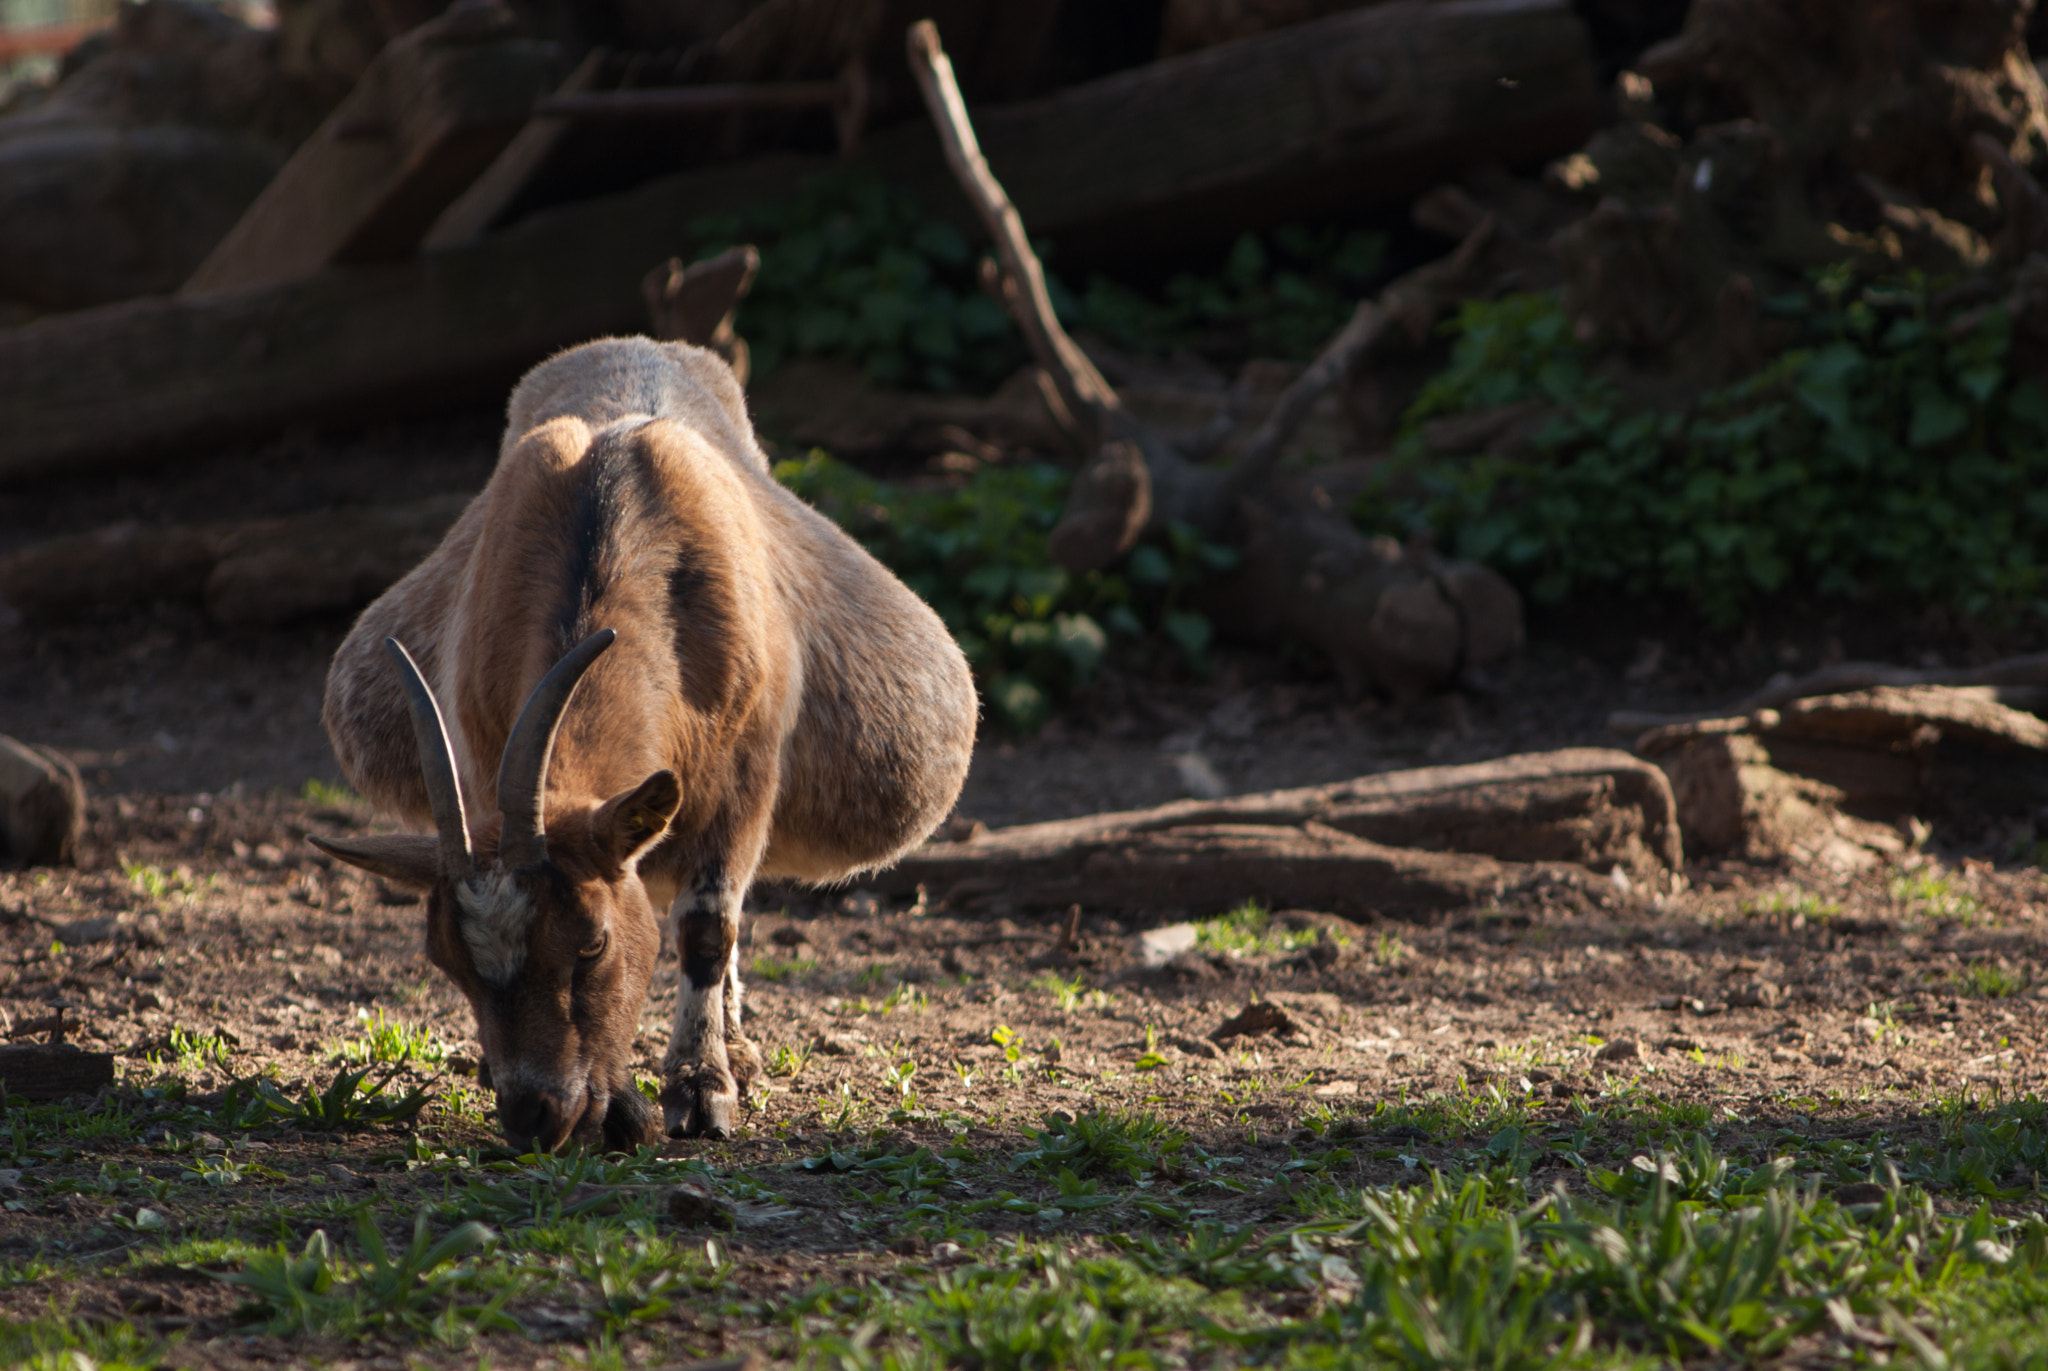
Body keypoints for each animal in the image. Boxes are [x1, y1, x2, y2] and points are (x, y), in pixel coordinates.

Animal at [309, 334, 974, 1147]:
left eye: (592, 942)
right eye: (445, 959)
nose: (535, 1116)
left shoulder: (744, 777)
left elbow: (708, 926)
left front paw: (702, 1087)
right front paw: (625, 1103)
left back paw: (735, 1051)